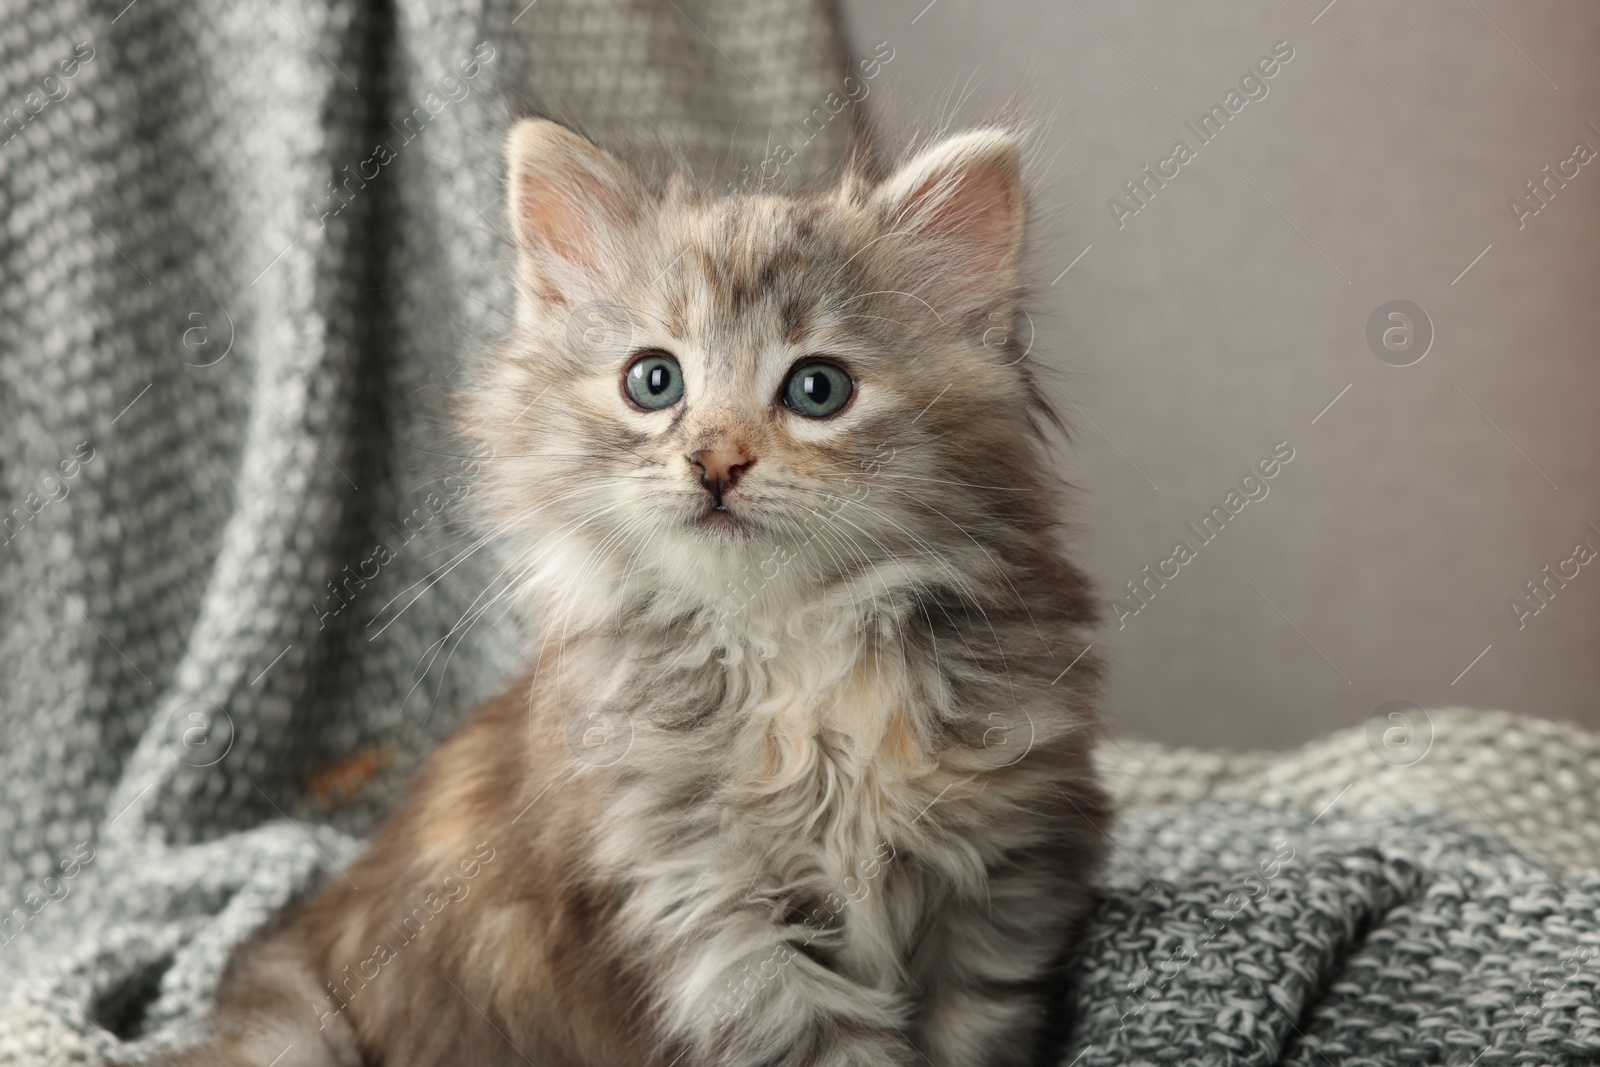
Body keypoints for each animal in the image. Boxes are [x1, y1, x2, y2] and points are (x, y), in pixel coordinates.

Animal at [165, 116, 1113, 1067]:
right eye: (654, 380)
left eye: (819, 389)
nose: (716, 460)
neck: (791, 650)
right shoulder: (711, 917)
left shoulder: (997, 885)